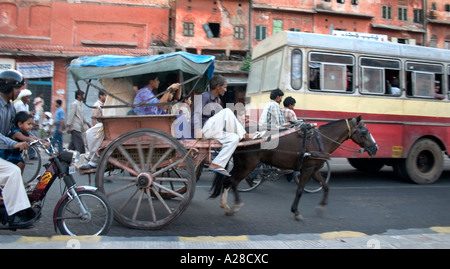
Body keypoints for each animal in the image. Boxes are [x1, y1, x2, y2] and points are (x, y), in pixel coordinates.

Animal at [209, 115, 378, 220]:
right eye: (364, 131)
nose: (375, 148)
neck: (320, 140)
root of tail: (240, 134)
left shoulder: (314, 170)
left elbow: (325, 186)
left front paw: (322, 206)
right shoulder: (307, 170)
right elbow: (300, 190)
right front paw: (296, 212)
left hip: (240, 163)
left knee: (227, 180)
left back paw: (225, 206)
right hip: (249, 165)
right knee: (234, 182)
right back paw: (235, 206)